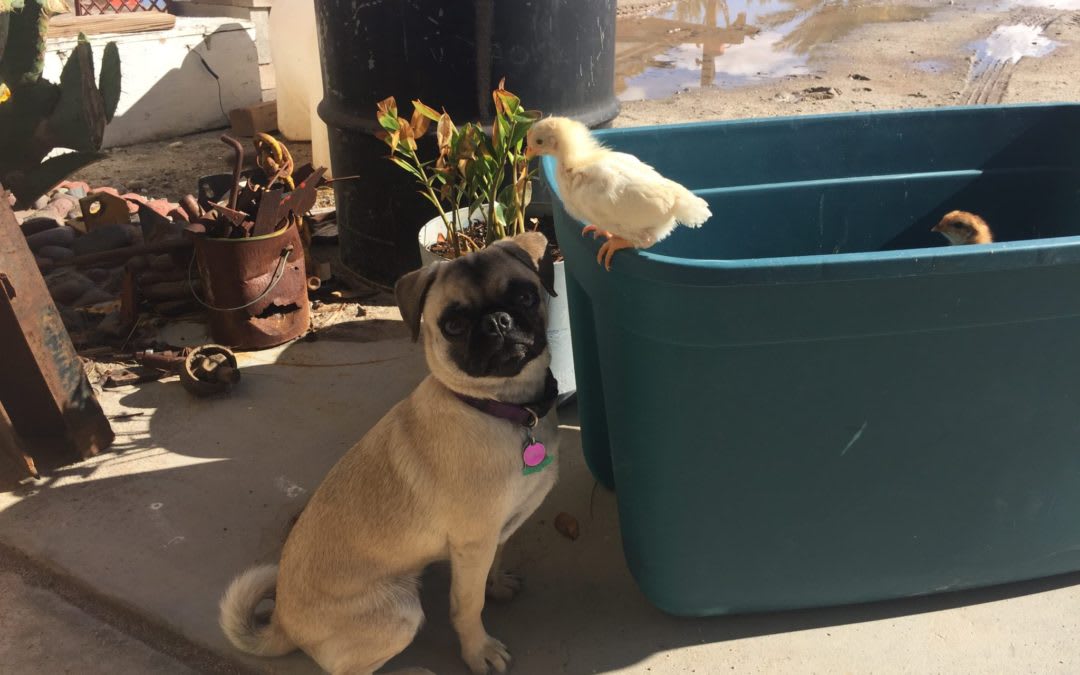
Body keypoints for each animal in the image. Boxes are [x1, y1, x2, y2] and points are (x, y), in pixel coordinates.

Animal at [216, 233, 561, 673]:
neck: (503, 408)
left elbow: (494, 566)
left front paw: (498, 584)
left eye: (525, 297)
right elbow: (468, 605)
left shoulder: (497, 533)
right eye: (453, 326)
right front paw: (478, 651)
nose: (498, 321)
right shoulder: (473, 543)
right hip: (400, 612)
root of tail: (282, 624)